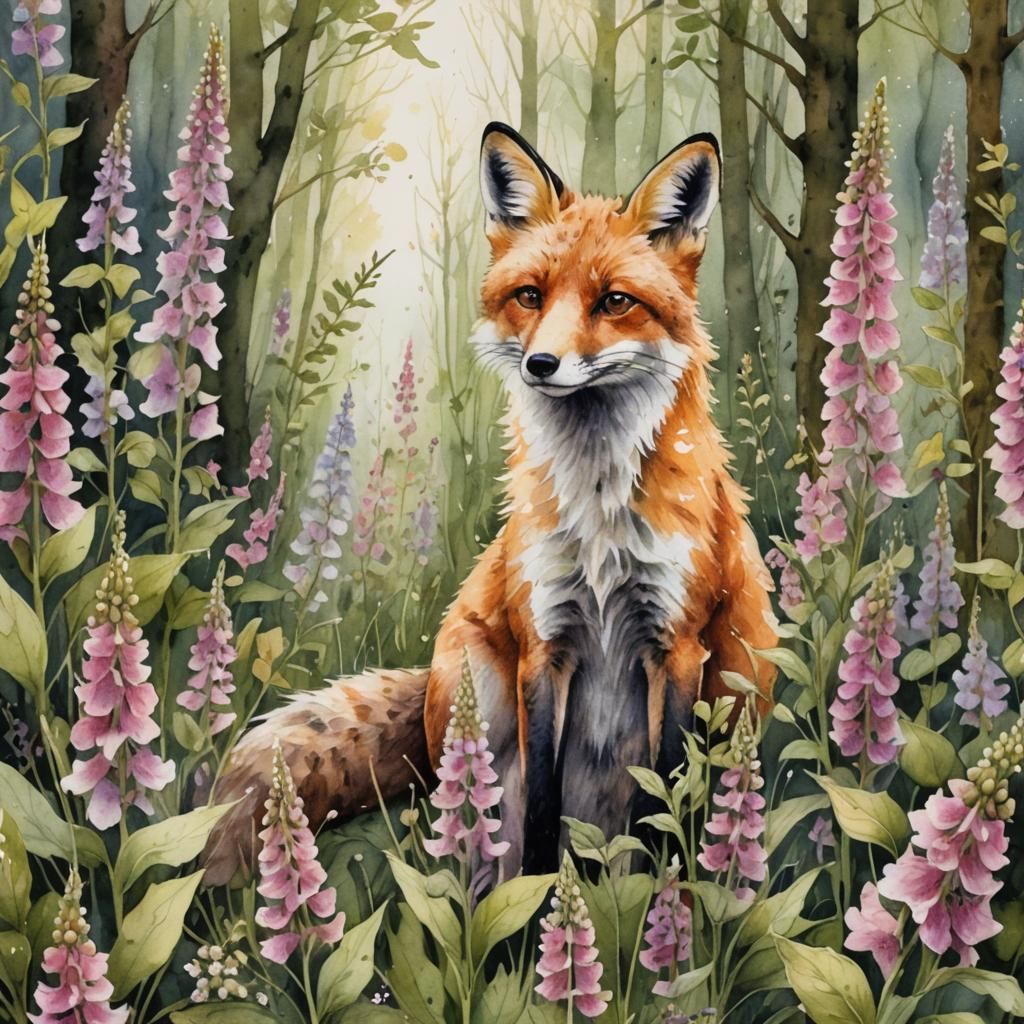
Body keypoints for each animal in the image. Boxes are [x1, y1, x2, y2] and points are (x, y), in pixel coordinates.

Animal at [202, 123, 778, 884]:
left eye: (614, 302)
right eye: (530, 296)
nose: (541, 365)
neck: (600, 511)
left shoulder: (678, 646)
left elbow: (664, 805)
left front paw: (665, 909)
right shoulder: (544, 644)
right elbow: (540, 810)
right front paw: (539, 909)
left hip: (738, 691)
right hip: (476, 703)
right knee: (478, 832)